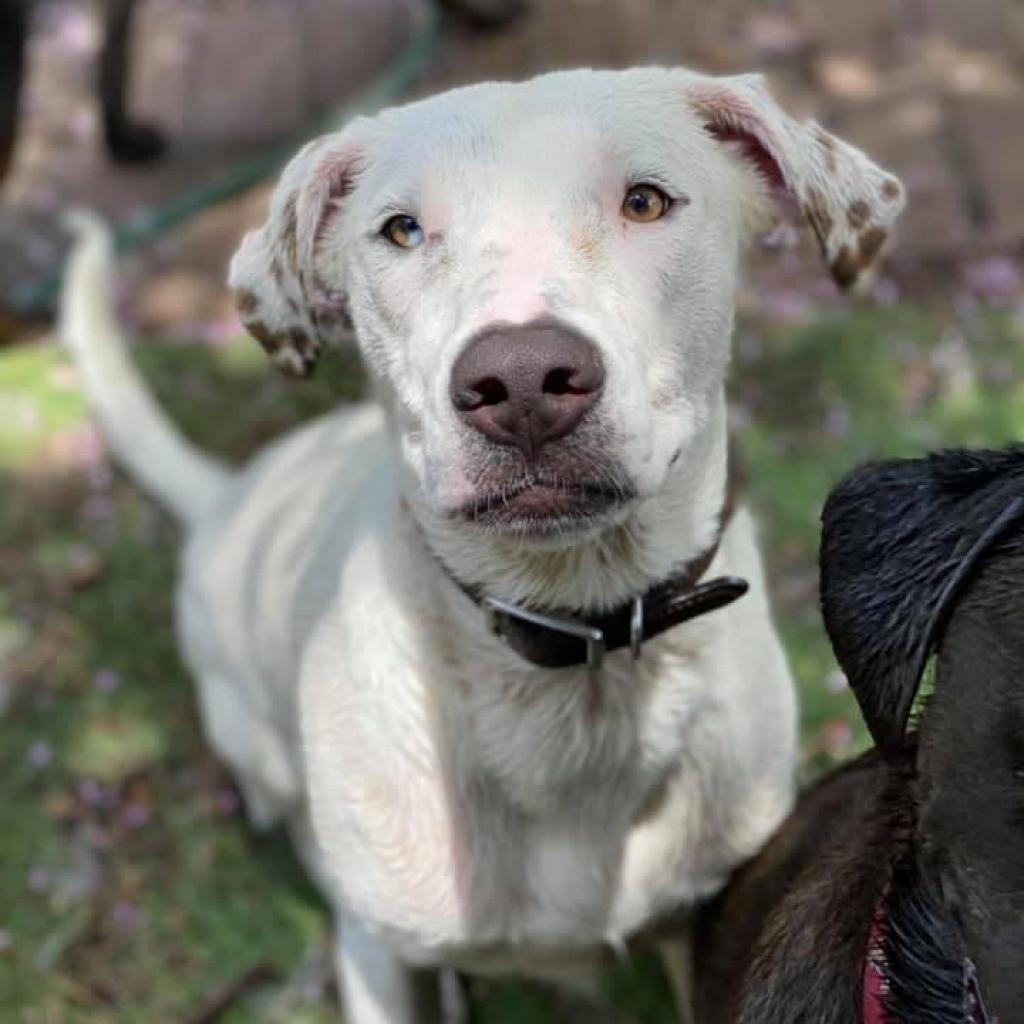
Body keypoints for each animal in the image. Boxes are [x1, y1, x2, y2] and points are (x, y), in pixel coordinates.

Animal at [61, 68, 905, 1019]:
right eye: (401, 229)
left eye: (646, 201)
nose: (524, 380)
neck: (579, 660)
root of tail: (226, 494)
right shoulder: (382, 959)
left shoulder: (715, 919)